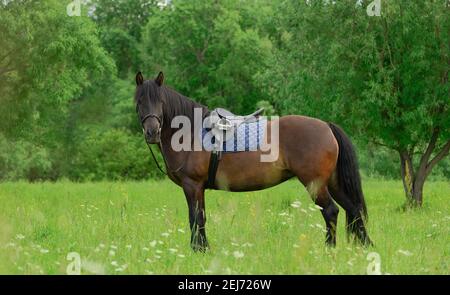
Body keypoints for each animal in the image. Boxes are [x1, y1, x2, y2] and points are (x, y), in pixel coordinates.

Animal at [134, 71, 372, 252]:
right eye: (139, 102)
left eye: (160, 101)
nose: (152, 132)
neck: (190, 132)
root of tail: (326, 126)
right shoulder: (197, 188)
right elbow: (200, 218)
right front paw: (202, 249)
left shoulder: (192, 185)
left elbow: (196, 219)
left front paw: (198, 250)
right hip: (332, 182)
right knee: (353, 209)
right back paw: (364, 246)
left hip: (315, 183)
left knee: (331, 211)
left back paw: (329, 248)